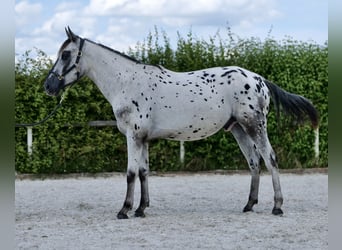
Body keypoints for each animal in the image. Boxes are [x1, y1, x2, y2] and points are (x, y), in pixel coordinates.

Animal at [44, 27, 320, 219]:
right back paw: (249, 205)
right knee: (254, 163)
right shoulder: (143, 138)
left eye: (66, 54)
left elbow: (131, 173)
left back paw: (277, 206)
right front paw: (141, 209)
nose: (49, 86)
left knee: (270, 158)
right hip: (239, 130)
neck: (127, 82)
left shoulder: (133, 137)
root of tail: (259, 79)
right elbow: (144, 171)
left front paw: (124, 210)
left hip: (255, 125)